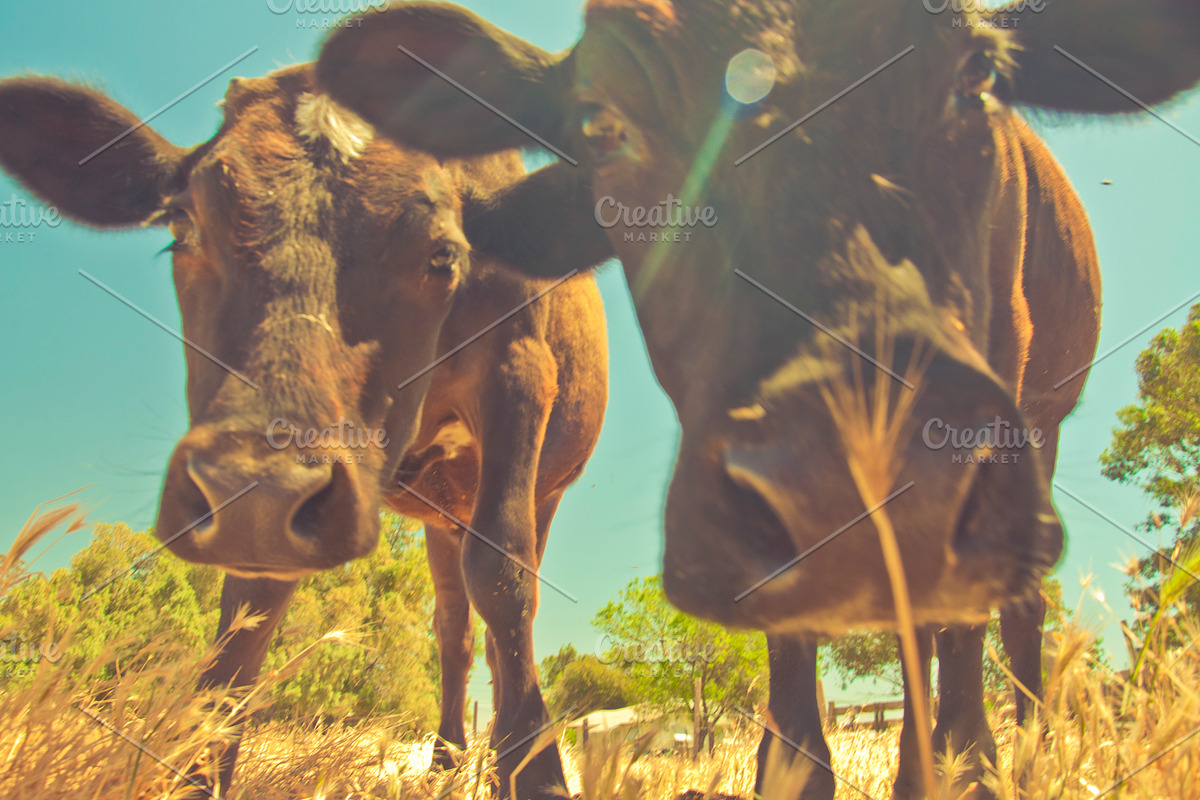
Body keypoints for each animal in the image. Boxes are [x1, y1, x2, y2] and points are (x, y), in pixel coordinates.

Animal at [0, 63, 609, 799]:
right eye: (183, 223)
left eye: (443, 253)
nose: (258, 490)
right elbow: (248, 608)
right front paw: (201, 768)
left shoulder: (520, 371)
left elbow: (504, 576)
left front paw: (538, 775)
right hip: (440, 513)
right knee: (453, 630)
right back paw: (445, 761)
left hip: (540, 486)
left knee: (495, 615)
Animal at [315, 1, 1200, 797]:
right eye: (601, 124)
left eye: (976, 74)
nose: (844, 482)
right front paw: (804, 763)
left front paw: (957, 767)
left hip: (1037, 427)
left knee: (1007, 616)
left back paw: (1010, 751)